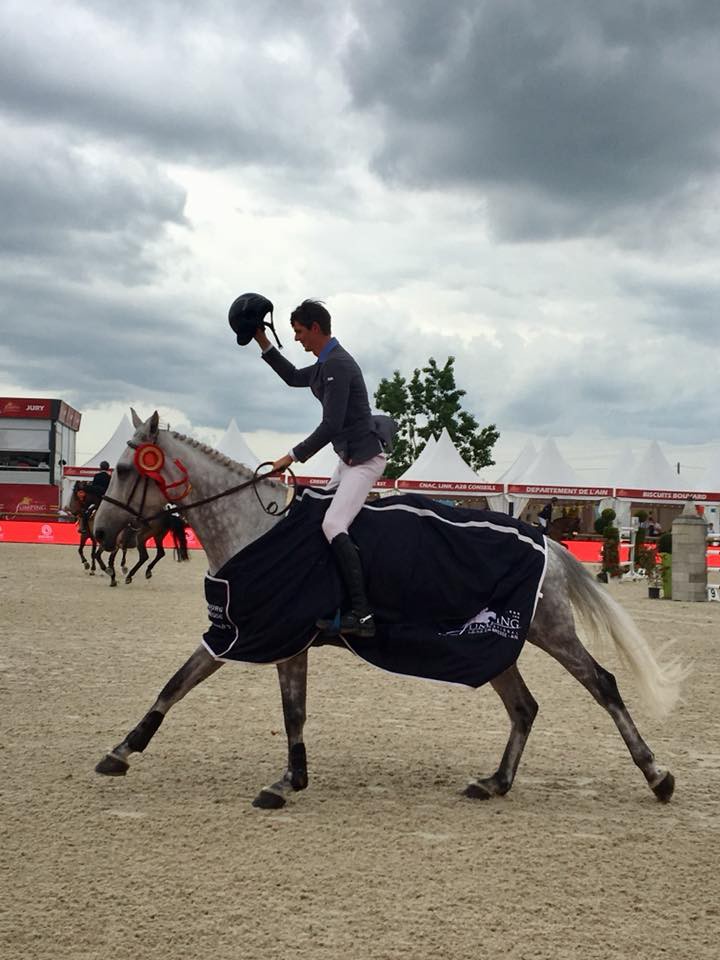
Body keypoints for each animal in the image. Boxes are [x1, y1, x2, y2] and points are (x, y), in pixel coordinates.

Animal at [93, 408, 684, 808]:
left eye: (124, 469)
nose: (98, 532)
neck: (254, 528)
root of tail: (548, 543)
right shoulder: (268, 637)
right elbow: (252, 701)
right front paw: (288, 779)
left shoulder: (257, 632)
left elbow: (201, 688)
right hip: (496, 645)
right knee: (524, 708)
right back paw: (495, 782)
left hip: (551, 632)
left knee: (602, 685)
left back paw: (657, 776)